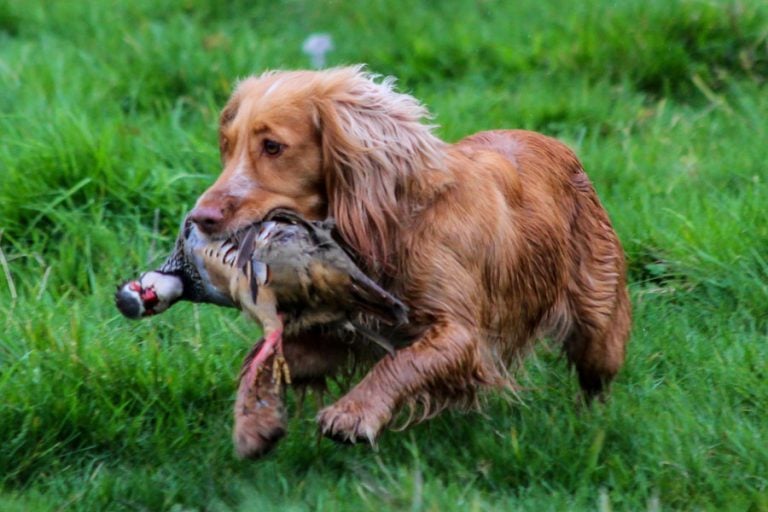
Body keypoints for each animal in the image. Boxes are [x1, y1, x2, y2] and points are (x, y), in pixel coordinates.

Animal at [188, 65, 632, 444]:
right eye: (227, 146)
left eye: (273, 146)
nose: (199, 219)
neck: (391, 227)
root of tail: (563, 149)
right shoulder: (347, 332)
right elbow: (261, 358)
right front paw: (255, 419)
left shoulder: (461, 334)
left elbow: (401, 364)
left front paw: (353, 414)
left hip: (598, 323)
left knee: (597, 375)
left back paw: (592, 421)